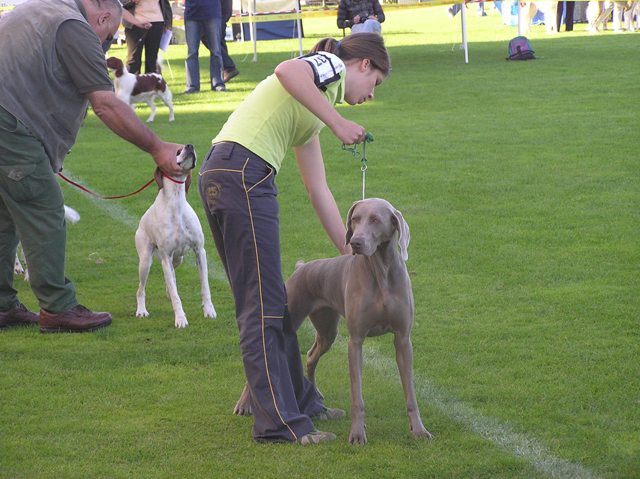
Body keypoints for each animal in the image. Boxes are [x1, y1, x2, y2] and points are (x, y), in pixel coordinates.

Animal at [134, 144, 216, 328]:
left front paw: (209, 310)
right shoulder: (166, 256)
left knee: (170, 279)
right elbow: (176, 296)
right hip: (146, 261)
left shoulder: (200, 251)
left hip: (179, 259)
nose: (189, 146)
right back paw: (141, 310)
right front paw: (180, 319)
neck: (176, 204)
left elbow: (205, 286)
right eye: (177, 151)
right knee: (141, 289)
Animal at [235, 199, 436, 446]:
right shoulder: (356, 341)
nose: (356, 242)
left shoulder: (403, 339)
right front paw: (357, 433)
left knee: (311, 356)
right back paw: (244, 404)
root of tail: (301, 267)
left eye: (375, 219)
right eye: (355, 219)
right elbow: (357, 396)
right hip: (287, 318)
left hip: (327, 330)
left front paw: (419, 430)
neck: (381, 272)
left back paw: (316, 396)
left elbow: (410, 393)